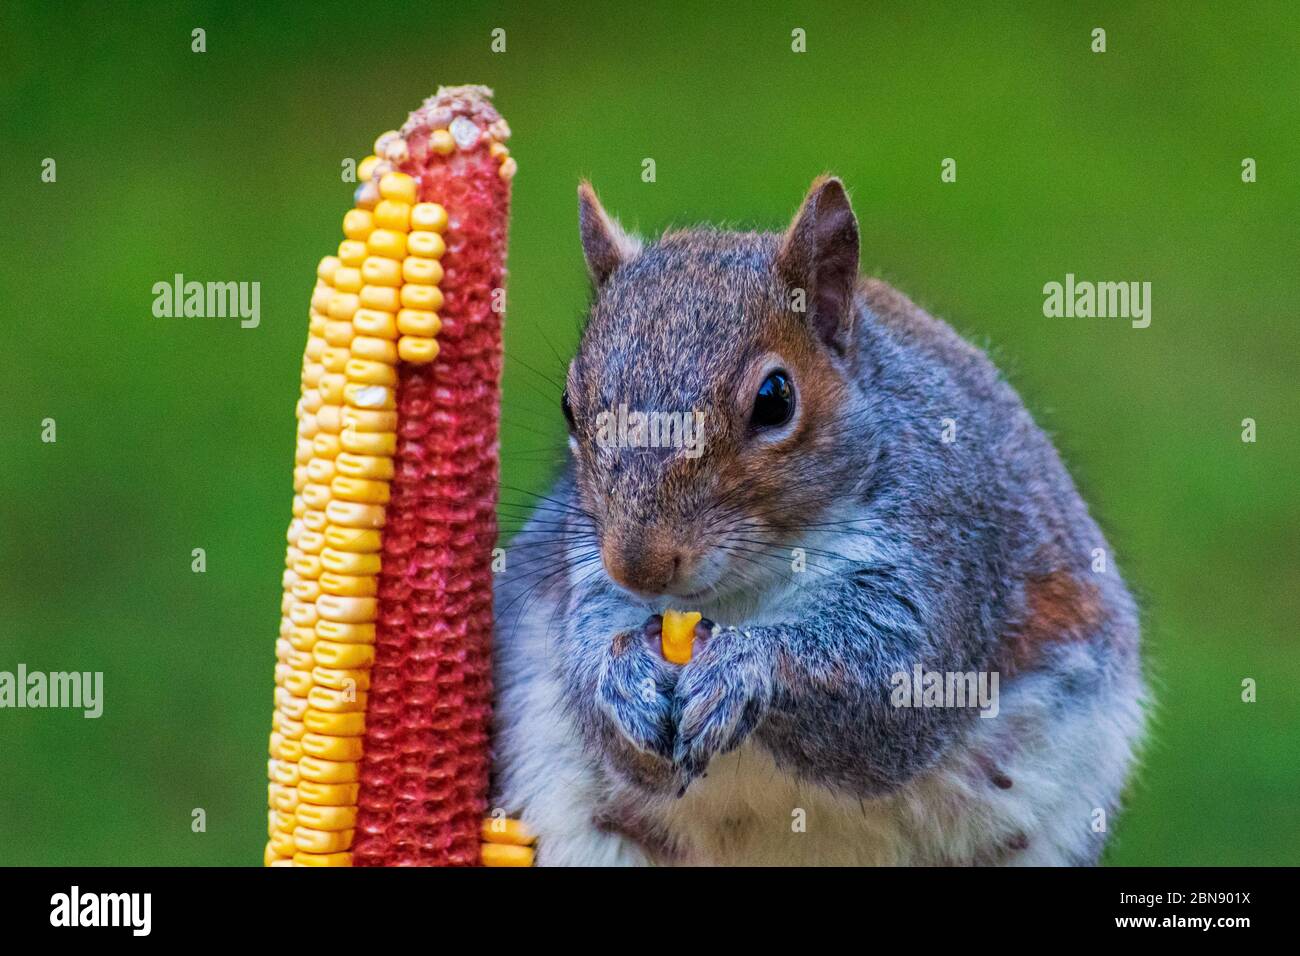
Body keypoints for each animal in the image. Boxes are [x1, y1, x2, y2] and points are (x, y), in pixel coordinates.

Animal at [490, 176, 1147, 865]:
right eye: (570, 405)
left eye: (775, 399)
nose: (638, 565)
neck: (743, 590)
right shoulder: (586, 575)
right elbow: (595, 673)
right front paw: (623, 681)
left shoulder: (946, 542)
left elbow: (893, 687)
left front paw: (745, 667)